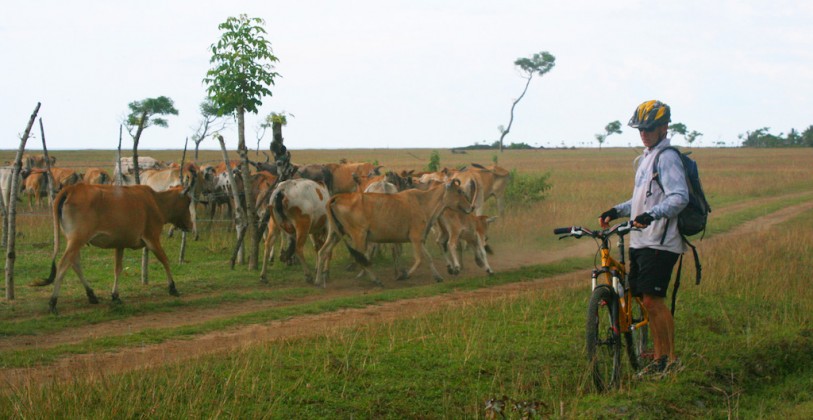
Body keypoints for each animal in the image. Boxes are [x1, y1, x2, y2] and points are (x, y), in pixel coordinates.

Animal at [34, 183, 194, 314]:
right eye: (188, 202)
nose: (191, 226)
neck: (157, 202)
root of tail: (72, 188)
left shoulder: (120, 244)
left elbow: (118, 269)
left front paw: (115, 296)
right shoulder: (152, 238)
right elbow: (165, 260)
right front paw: (172, 287)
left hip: (74, 241)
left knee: (75, 264)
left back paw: (91, 295)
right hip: (77, 240)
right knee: (63, 265)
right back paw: (53, 302)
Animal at [314, 178, 475, 287]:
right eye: (459, 191)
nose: (471, 207)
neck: (423, 201)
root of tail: (335, 198)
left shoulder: (419, 239)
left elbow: (428, 258)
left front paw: (438, 277)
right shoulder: (415, 238)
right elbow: (419, 259)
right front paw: (404, 275)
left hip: (335, 234)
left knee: (323, 252)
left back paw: (318, 280)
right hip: (358, 235)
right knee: (361, 258)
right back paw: (376, 280)